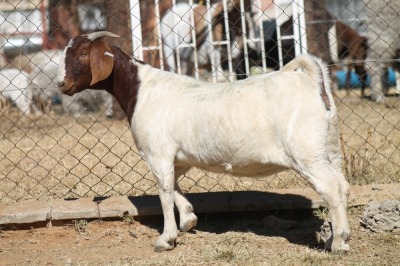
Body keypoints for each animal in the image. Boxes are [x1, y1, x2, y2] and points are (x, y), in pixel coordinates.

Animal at [57, 30, 350, 251]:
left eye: (83, 54)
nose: (62, 84)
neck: (140, 89)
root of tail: (311, 79)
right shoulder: (179, 157)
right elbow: (174, 185)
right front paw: (188, 220)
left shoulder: (158, 153)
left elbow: (164, 191)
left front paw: (166, 239)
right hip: (330, 148)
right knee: (343, 185)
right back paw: (339, 238)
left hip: (307, 153)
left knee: (331, 189)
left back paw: (339, 243)